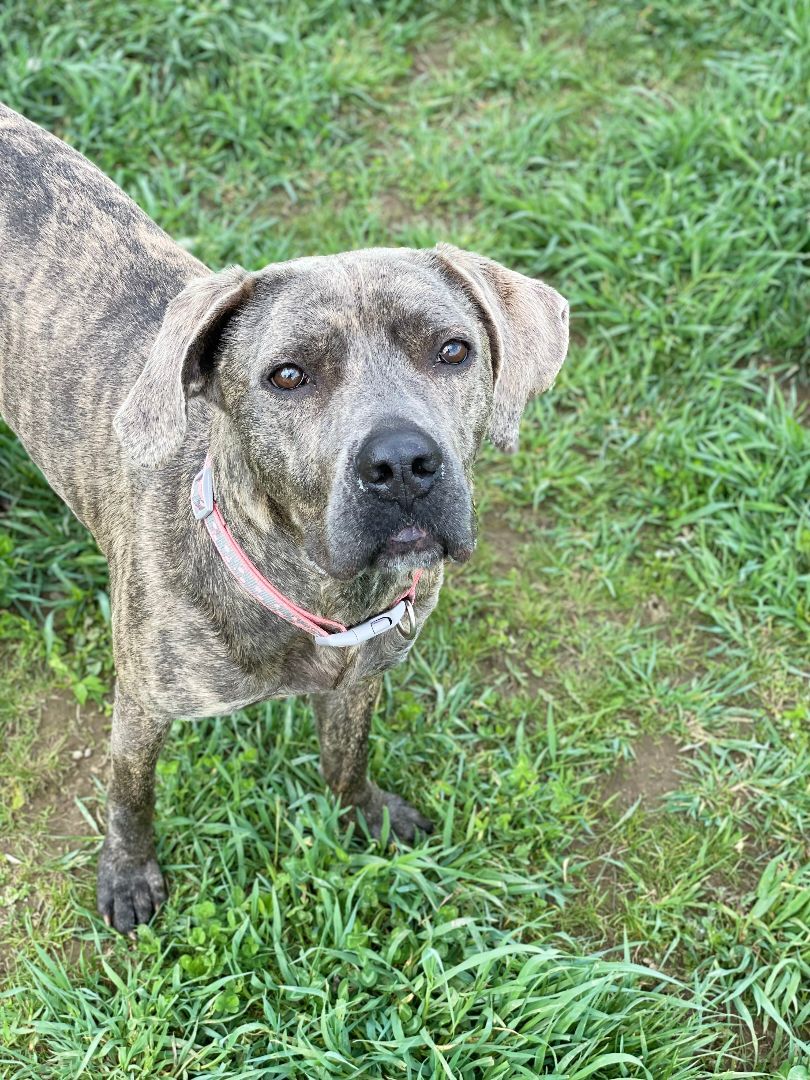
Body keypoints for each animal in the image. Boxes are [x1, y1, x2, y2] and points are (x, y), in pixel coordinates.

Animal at [0, 105, 570, 933]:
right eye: (289, 375)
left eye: (453, 350)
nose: (403, 463)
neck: (314, 591)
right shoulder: (143, 703)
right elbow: (131, 794)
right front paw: (128, 875)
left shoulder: (362, 678)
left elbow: (346, 756)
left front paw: (365, 812)